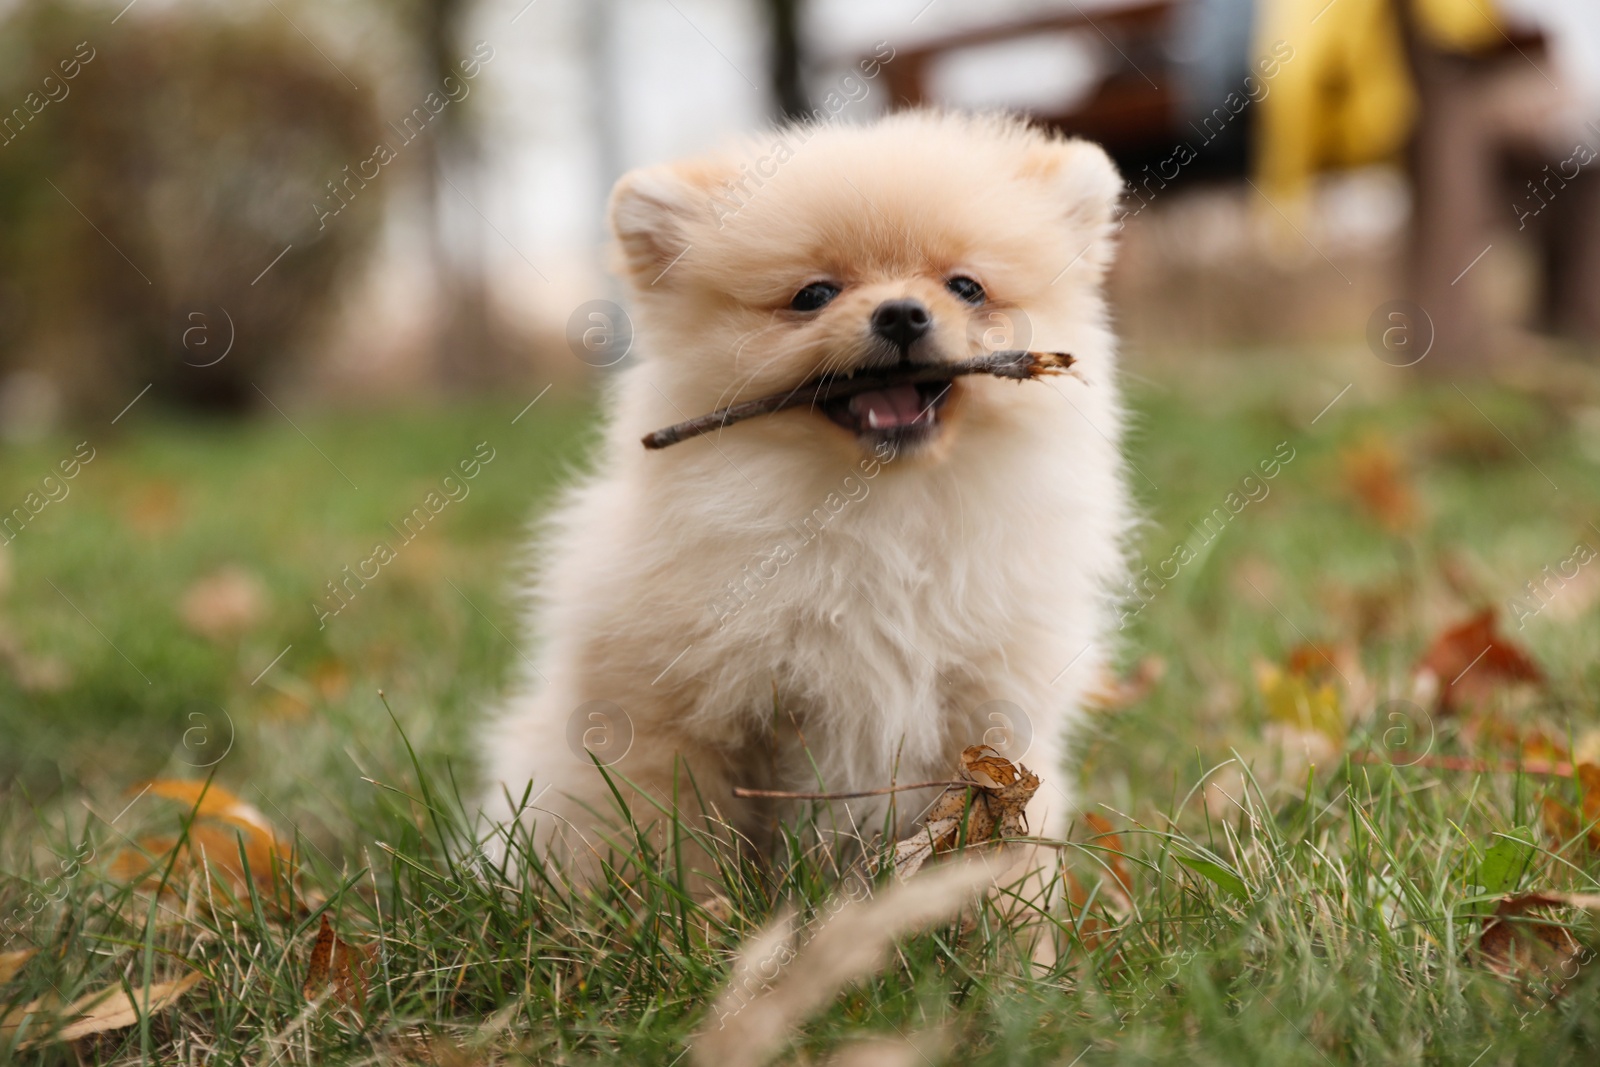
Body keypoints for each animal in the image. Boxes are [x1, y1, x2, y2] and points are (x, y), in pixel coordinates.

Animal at [480, 110, 1132, 895]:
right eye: (813, 295)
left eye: (967, 287)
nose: (902, 313)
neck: (879, 512)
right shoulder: (677, 718)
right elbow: (675, 838)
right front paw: (690, 918)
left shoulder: (990, 712)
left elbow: (997, 839)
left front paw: (1017, 929)